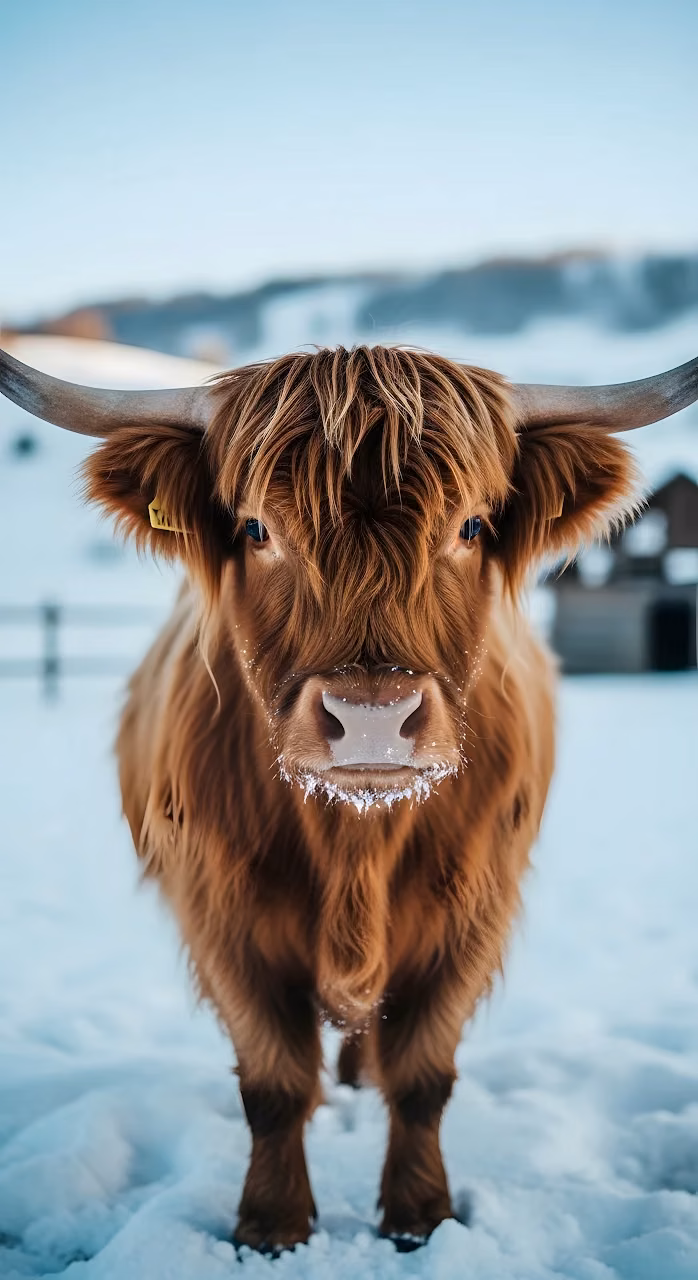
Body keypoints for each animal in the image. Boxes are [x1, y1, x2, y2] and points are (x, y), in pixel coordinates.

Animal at [2, 343, 697, 1252]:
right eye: (257, 528)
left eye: (471, 526)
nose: (373, 717)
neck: (354, 845)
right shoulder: (220, 914)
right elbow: (273, 1080)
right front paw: (270, 1226)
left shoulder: (474, 911)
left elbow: (424, 1075)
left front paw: (420, 1219)